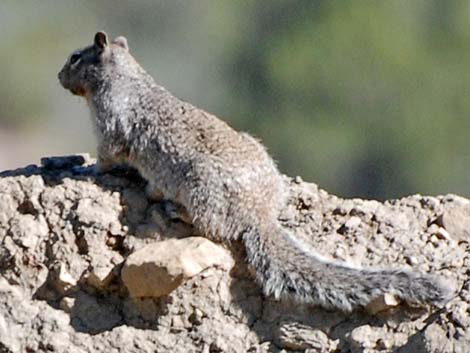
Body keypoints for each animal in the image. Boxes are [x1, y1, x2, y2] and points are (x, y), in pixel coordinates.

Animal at [57, 32, 454, 310]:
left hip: (200, 187)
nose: (59, 76)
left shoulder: (111, 129)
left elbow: (107, 159)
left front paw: (86, 170)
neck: (126, 78)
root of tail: (259, 213)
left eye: (75, 58)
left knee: (211, 227)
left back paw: (175, 209)